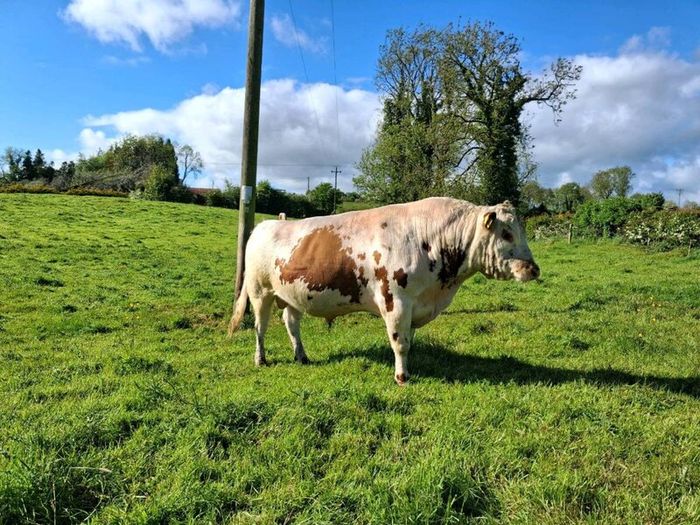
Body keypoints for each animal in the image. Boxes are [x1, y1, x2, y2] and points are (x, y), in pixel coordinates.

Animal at [228, 197, 539, 385]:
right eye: (506, 234)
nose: (534, 269)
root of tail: (266, 224)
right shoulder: (396, 301)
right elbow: (399, 342)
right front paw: (402, 377)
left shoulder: (416, 305)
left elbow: (409, 341)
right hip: (260, 292)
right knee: (260, 327)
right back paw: (261, 359)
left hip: (292, 294)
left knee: (291, 323)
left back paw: (302, 357)